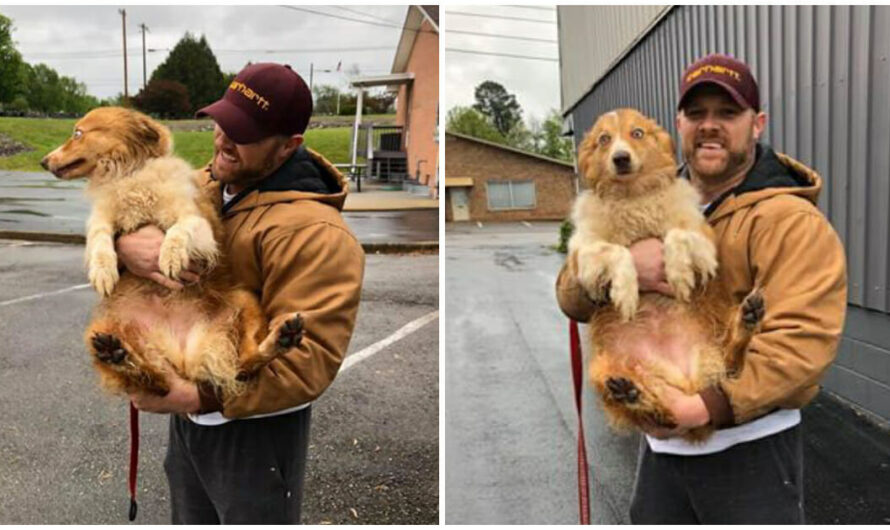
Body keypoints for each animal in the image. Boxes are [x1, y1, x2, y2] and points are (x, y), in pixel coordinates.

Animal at [42, 106, 302, 396]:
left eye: (77, 133)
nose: (43, 161)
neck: (128, 175)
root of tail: (183, 358)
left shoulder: (197, 221)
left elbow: (178, 231)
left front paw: (170, 257)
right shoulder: (102, 219)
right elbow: (100, 240)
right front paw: (103, 272)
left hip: (245, 300)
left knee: (244, 364)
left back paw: (283, 338)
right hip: (97, 331)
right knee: (155, 382)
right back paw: (119, 355)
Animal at [564, 108, 760, 442]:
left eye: (637, 133)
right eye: (604, 139)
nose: (620, 158)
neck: (632, 197)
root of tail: (683, 378)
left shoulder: (700, 234)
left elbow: (675, 235)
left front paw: (679, 275)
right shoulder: (584, 251)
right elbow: (619, 251)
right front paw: (626, 293)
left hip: (711, 345)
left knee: (731, 363)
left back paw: (747, 319)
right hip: (603, 368)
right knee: (650, 404)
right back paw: (634, 395)